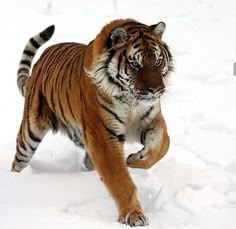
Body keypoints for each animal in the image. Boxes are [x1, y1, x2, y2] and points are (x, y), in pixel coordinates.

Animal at [11, 19, 173, 227]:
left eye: (158, 61)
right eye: (135, 64)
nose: (156, 90)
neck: (131, 100)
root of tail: (40, 63)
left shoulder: (152, 119)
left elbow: (162, 145)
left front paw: (135, 159)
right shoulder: (101, 134)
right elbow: (119, 178)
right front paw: (133, 215)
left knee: (89, 162)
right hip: (30, 132)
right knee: (19, 159)